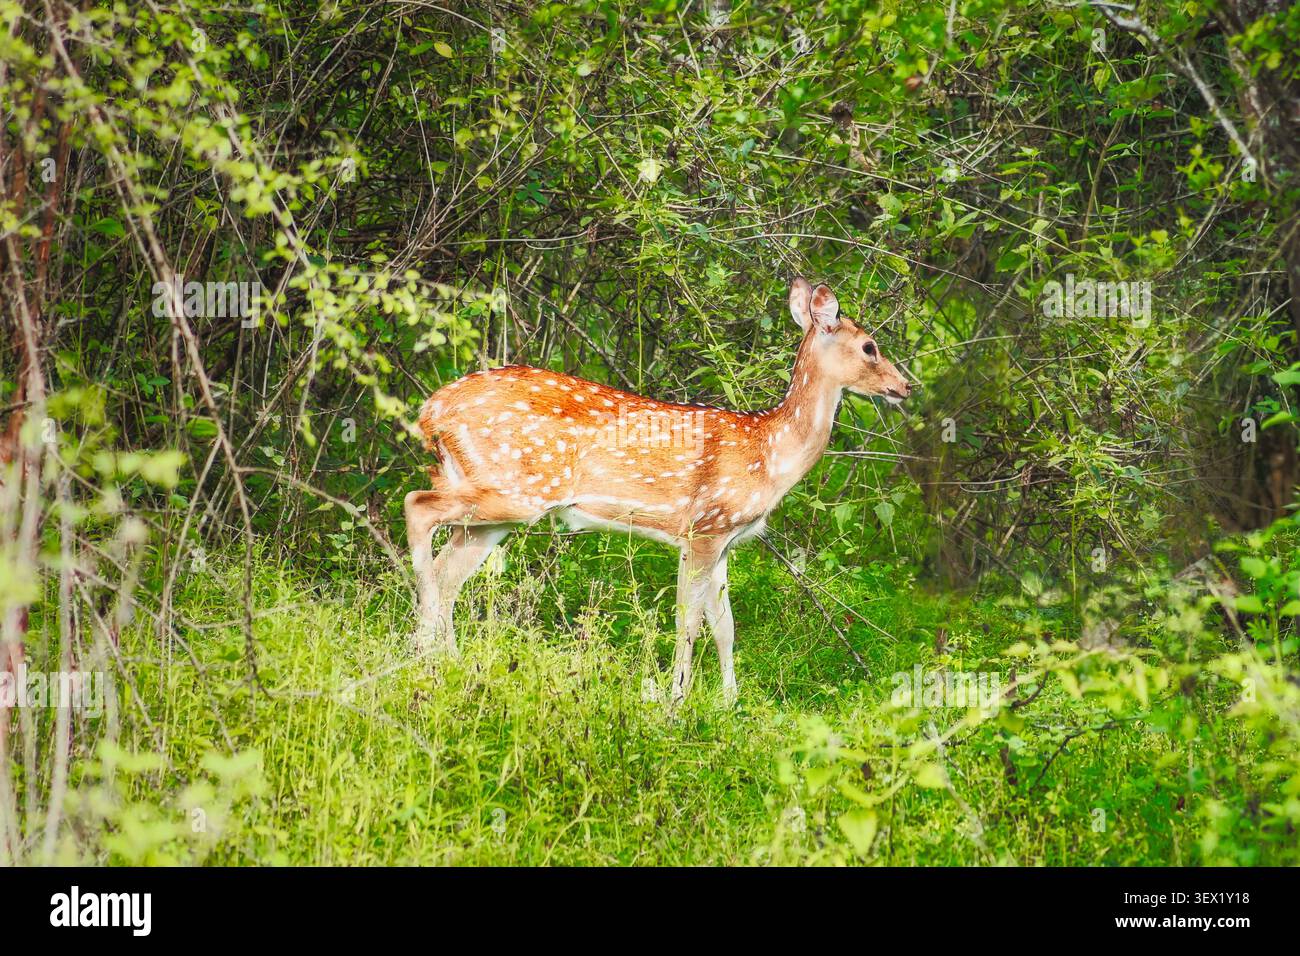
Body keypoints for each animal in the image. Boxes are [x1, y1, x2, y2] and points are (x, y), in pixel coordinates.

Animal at [405, 278, 911, 704]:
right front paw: (676, 700)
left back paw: (448, 661)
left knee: (449, 572)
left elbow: (725, 626)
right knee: (418, 508)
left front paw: (730, 703)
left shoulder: (724, 540)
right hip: (516, 490)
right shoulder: (704, 527)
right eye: (870, 346)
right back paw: (424, 652)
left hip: (497, 508)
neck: (769, 454)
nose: (906, 385)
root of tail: (431, 412)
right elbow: (689, 620)